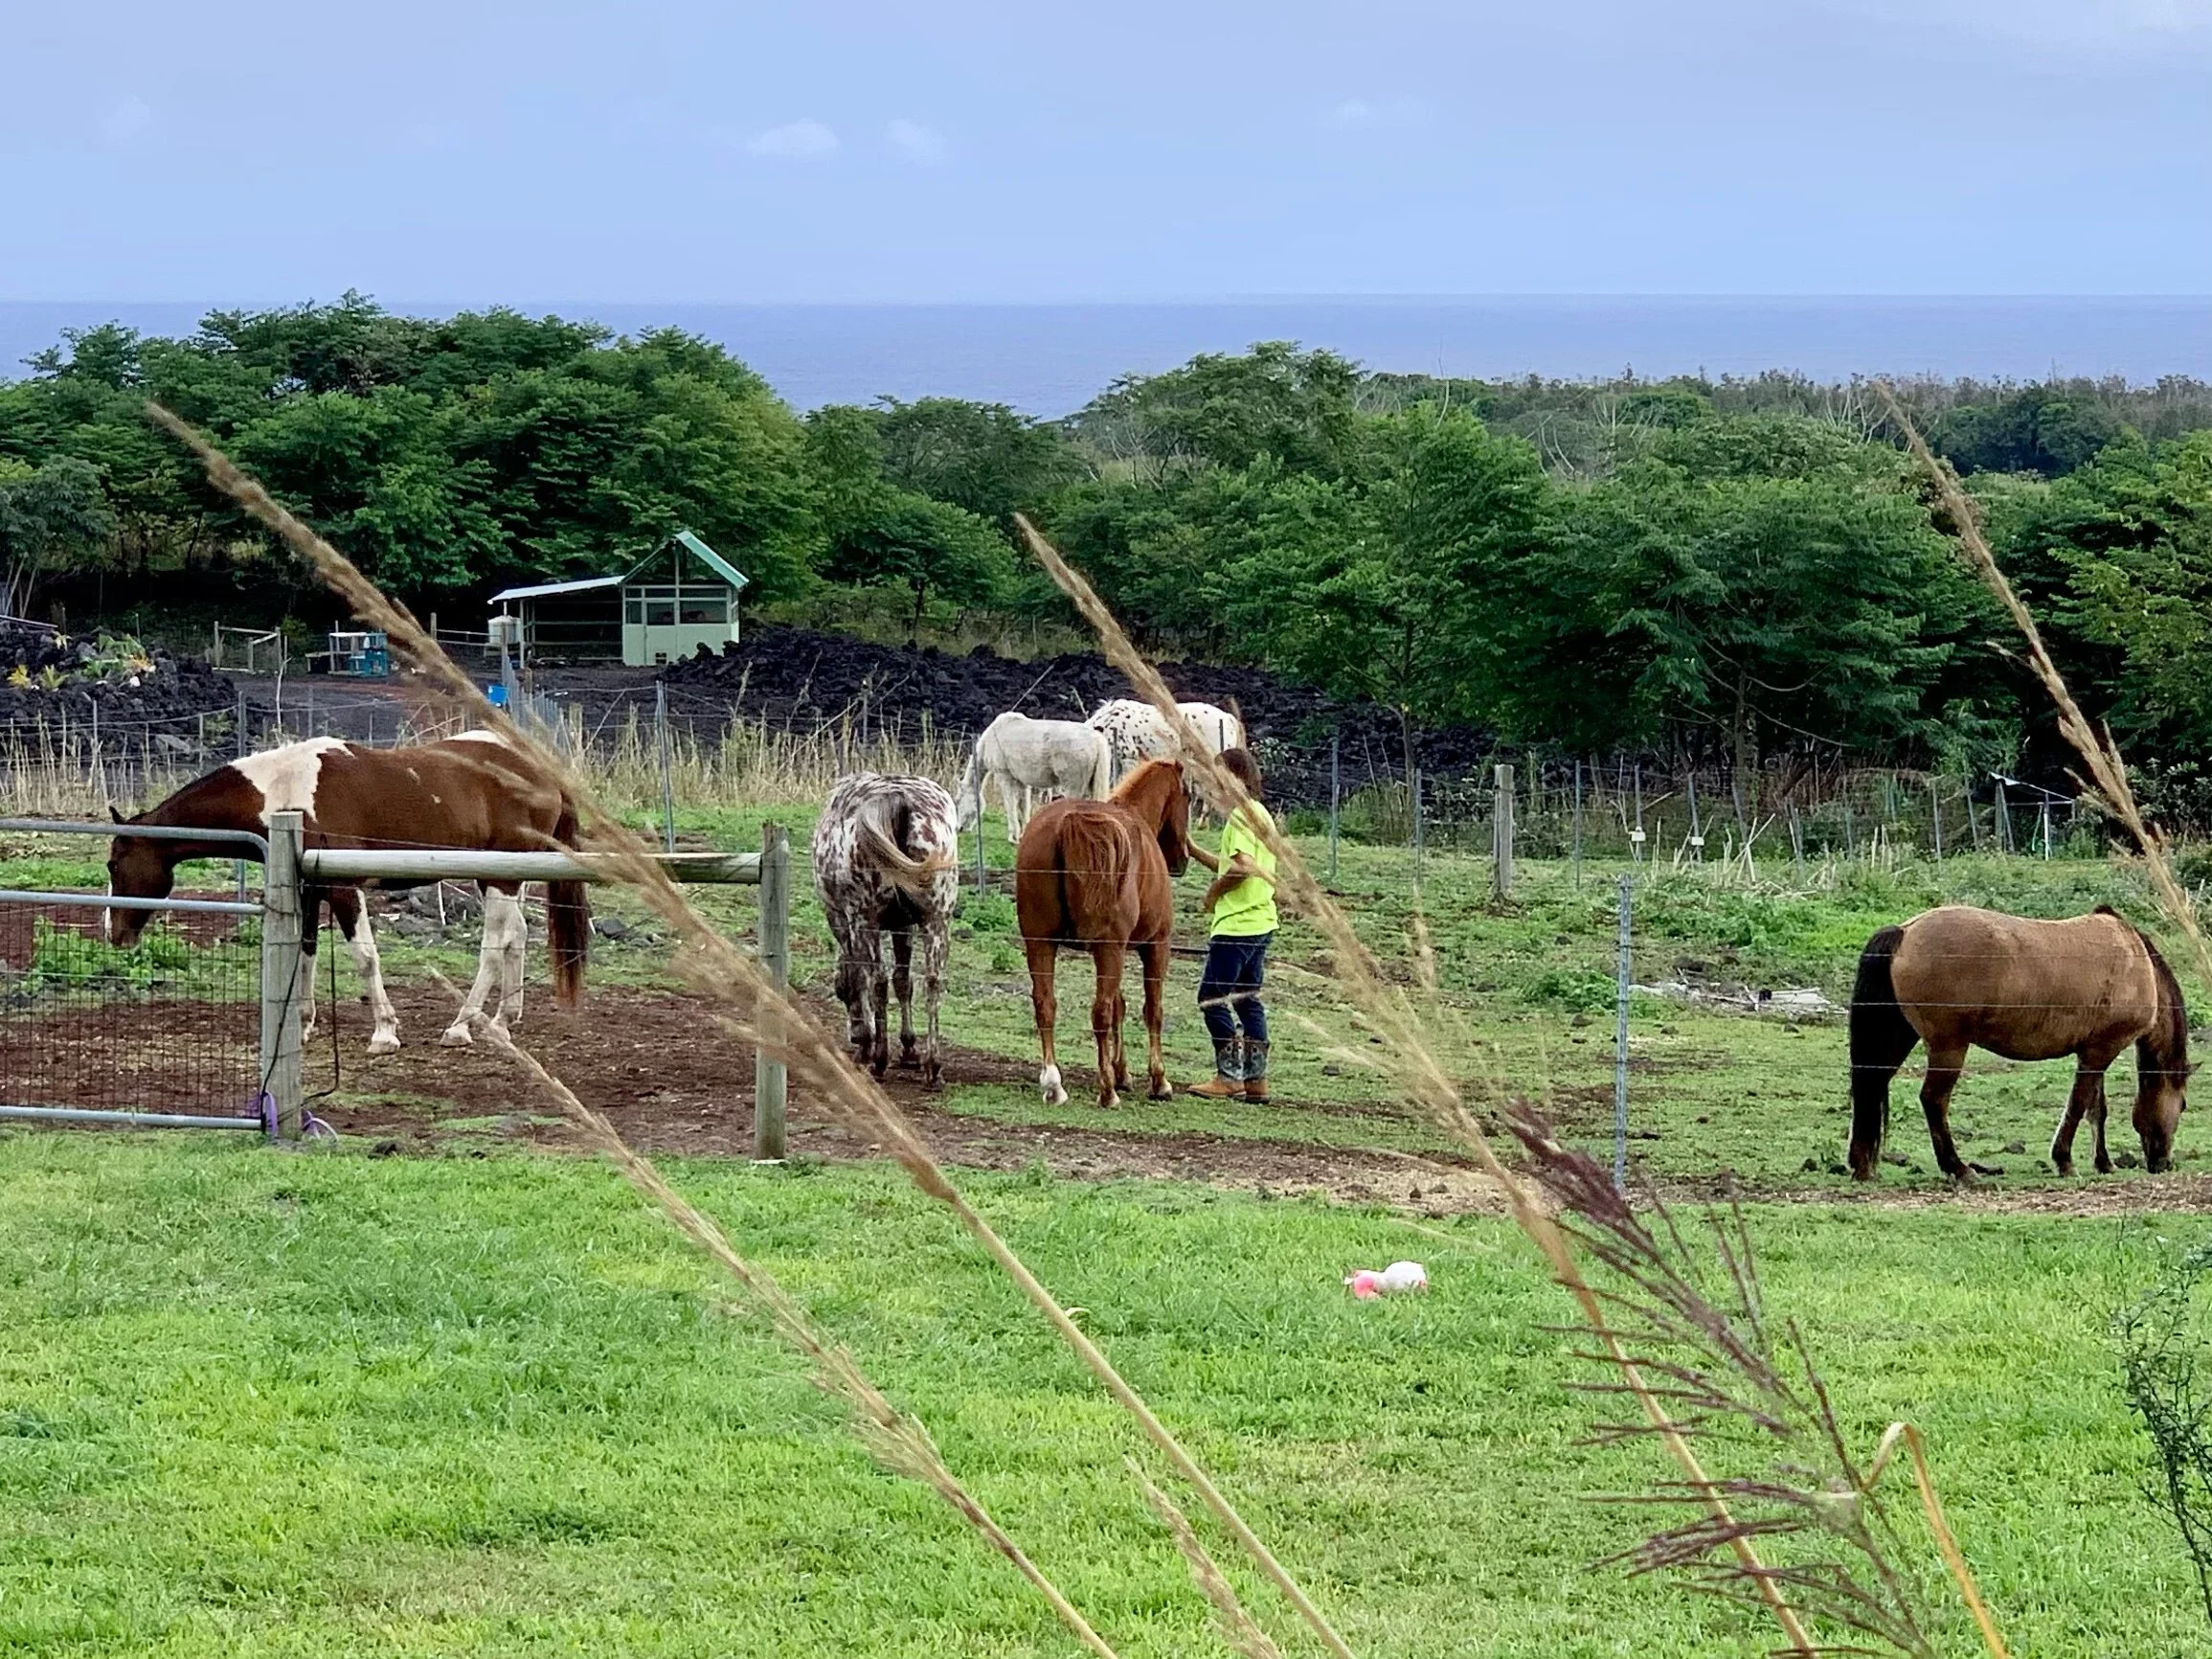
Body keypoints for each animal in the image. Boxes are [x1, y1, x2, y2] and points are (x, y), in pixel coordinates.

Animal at [106, 732, 589, 1054]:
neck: (284, 791)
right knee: (517, 938)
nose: (114, 933)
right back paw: (503, 1022)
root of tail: (540, 772)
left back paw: (460, 1026)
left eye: (113, 864)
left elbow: (365, 957)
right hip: (501, 878)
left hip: (500, 882)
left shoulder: (343, 889)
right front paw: (302, 1026)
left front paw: (385, 1032)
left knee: (493, 947)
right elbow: (304, 954)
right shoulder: (308, 890)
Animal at [811, 773, 962, 1087]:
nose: (853, 1036)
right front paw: (909, 1048)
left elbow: (858, 978)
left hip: (865, 920)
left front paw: (865, 1042)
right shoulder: (904, 925)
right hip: (937, 920)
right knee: (933, 981)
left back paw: (879, 1060)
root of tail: (899, 800)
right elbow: (903, 981)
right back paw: (933, 1065)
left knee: (877, 980)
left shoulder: (841, 919)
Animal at [955, 712, 1113, 843]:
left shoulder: (1005, 777)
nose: (959, 828)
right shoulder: (1022, 782)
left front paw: (1013, 837)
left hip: (1073, 788)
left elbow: (1010, 805)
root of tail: (1096, 739)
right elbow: (1023, 806)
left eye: (957, 801)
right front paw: (1023, 834)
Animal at [1014, 758, 1190, 1108]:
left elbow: (1121, 1006)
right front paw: (1158, 1080)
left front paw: (1122, 1072)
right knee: (1101, 1012)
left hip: (1041, 942)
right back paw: (1107, 1092)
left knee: (1045, 1004)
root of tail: (1069, 823)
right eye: (1188, 797)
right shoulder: (1156, 946)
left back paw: (1054, 1084)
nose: (1182, 860)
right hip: (1108, 948)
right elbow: (1152, 1010)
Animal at [1848, 904, 2190, 1181]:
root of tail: (1905, 931)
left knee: (1871, 1085)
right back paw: (1958, 1168)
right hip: (1949, 1048)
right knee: (1933, 1100)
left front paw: (2104, 1163)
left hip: (1899, 1037)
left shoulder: (2094, 1050)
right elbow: (2079, 1104)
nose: (2164, 1163)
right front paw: (2065, 1160)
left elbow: (2096, 1109)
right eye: (2184, 1105)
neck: (2134, 958)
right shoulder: (2101, 1050)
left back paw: (1863, 1166)